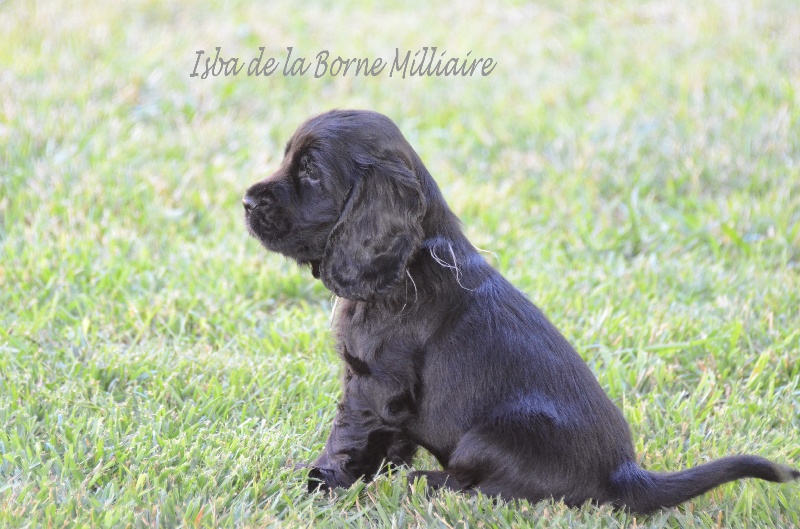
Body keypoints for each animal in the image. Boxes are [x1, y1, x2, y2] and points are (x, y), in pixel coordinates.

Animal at [242, 109, 798, 513]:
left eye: (310, 172)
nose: (246, 201)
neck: (409, 260)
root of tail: (625, 474)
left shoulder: (374, 382)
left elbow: (348, 436)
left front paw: (319, 482)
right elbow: (388, 442)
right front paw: (369, 473)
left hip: (491, 435)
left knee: (488, 487)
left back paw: (426, 482)